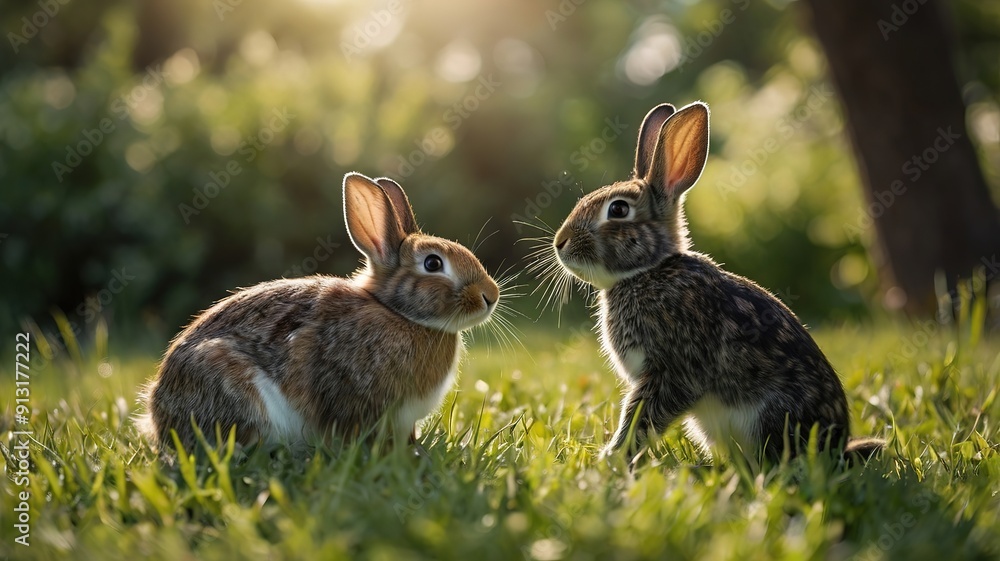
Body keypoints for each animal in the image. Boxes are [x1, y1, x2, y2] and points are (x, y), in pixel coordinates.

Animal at [550, 101, 883, 467]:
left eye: (619, 209)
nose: (560, 243)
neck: (648, 271)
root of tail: (837, 446)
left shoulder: (673, 371)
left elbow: (642, 417)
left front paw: (612, 458)